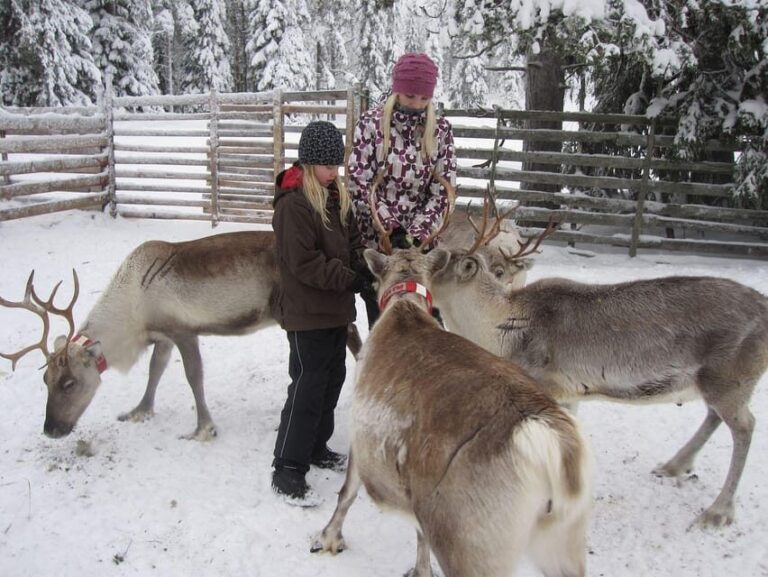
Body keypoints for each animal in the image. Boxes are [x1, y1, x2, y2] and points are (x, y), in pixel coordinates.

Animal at [310, 246, 593, 577]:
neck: (404, 307)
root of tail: (551, 443)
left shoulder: (361, 435)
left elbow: (347, 492)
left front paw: (328, 538)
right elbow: (419, 534)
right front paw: (420, 569)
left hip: (469, 541)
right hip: (564, 538)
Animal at [420, 217, 768, 528]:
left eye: (440, 260)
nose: (414, 254)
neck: (499, 329)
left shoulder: (544, 385)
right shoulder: (570, 393)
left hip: (730, 376)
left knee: (744, 426)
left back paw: (717, 512)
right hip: (713, 382)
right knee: (713, 415)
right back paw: (674, 465)